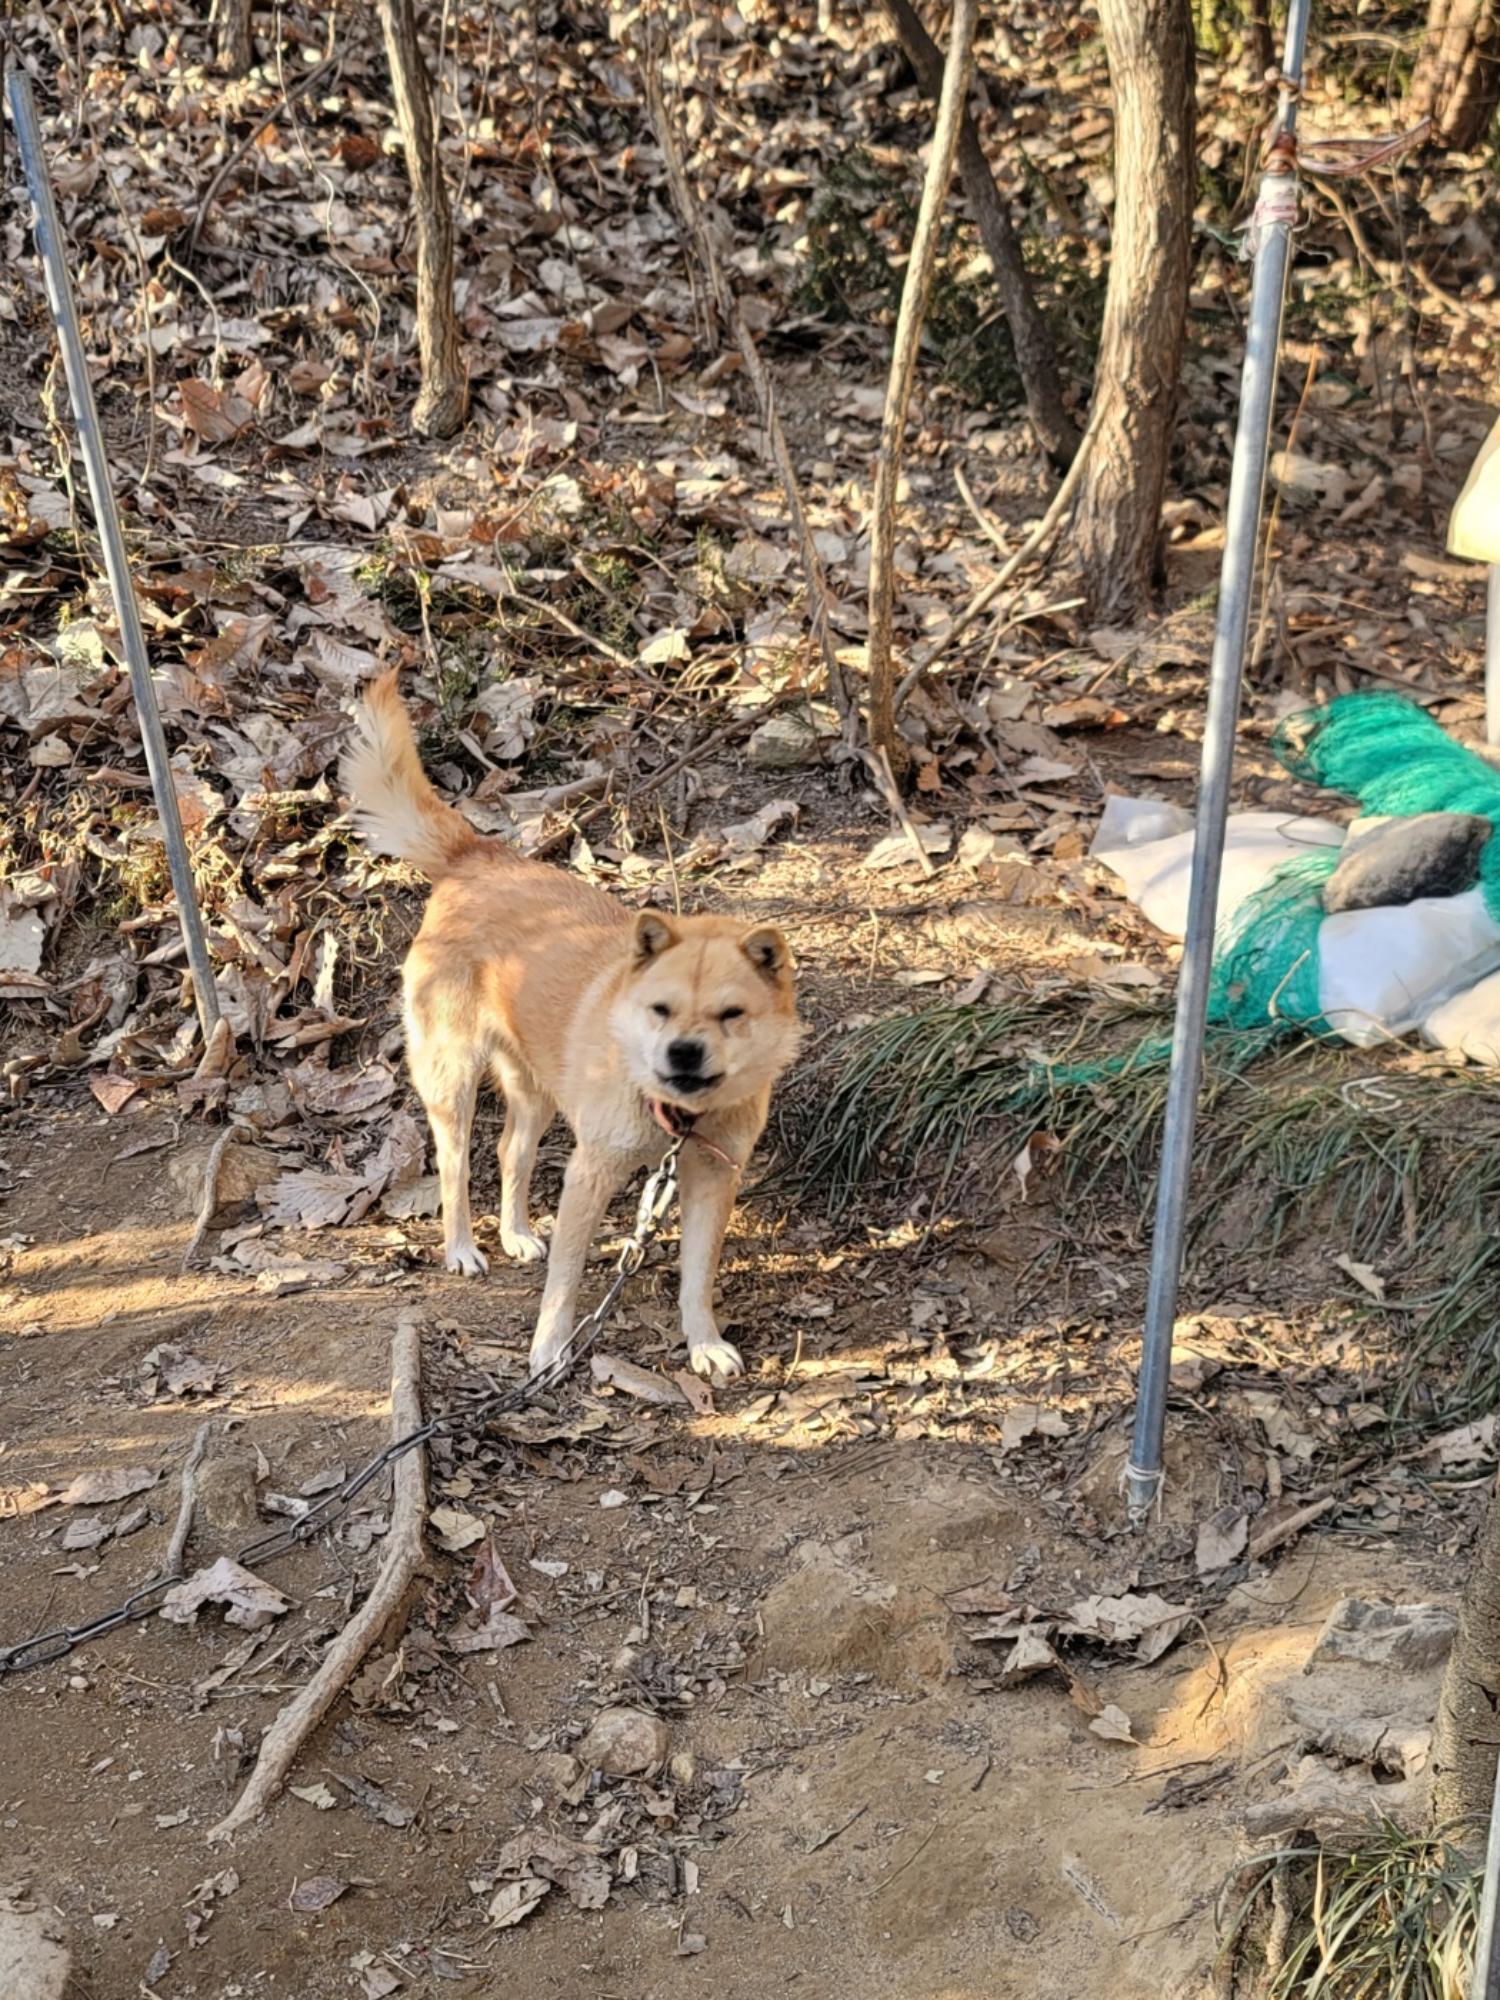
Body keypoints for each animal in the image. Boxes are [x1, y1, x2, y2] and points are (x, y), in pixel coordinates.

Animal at [346, 672, 804, 1376]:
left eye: (732, 1014)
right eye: (661, 1009)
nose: (683, 1054)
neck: (674, 1117)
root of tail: (478, 856)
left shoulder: (710, 1183)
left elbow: (697, 1276)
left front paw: (703, 1343)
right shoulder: (589, 1176)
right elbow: (565, 1280)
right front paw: (548, 1351)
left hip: (535, 1089)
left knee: (510, 1152)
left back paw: (515, 1233)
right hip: (453, 1080)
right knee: (454, 1166)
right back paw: (462, 1248)